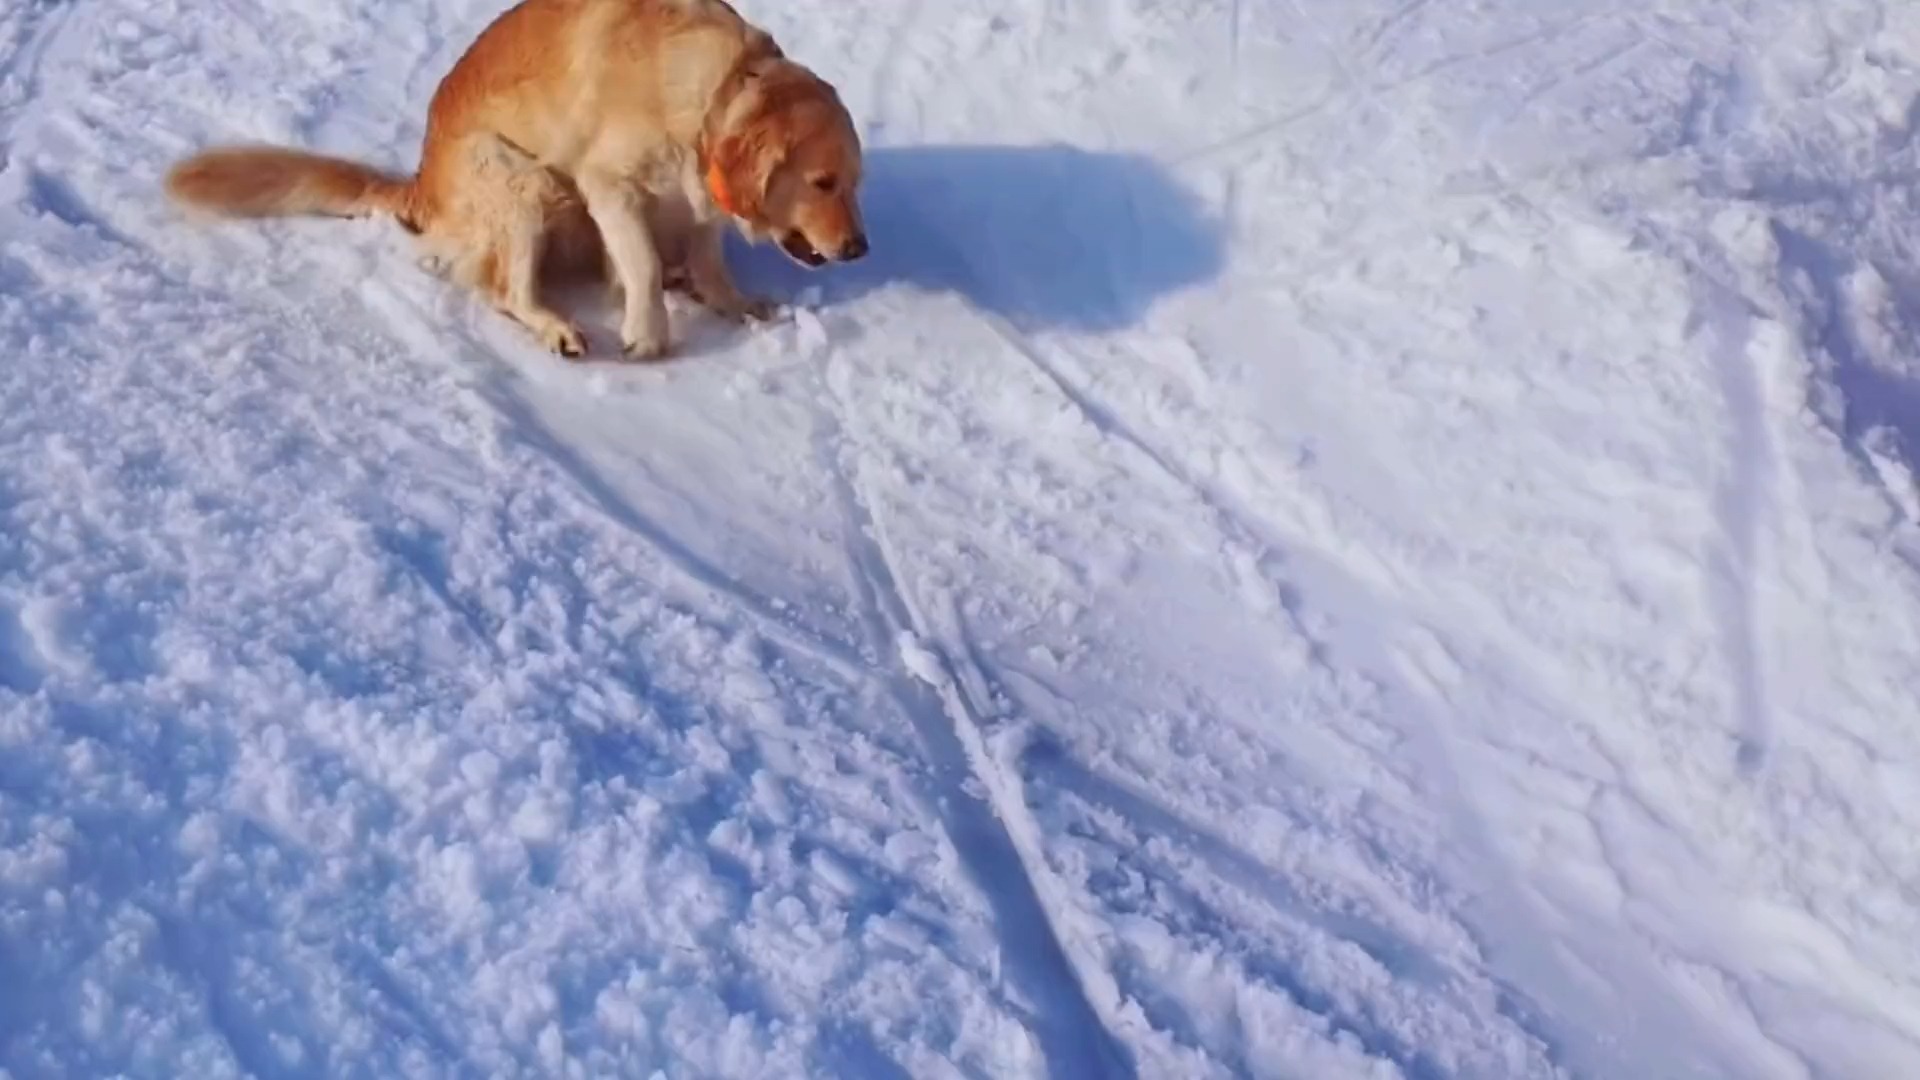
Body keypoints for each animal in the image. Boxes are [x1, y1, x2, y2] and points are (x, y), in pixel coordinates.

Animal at [161, 0, 867, 361]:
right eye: (823, 182)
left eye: (854, 183)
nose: (859, 249)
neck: (722, 86)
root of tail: (420, 183)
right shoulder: (606, 183)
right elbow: (638, 261)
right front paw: (647, 332)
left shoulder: (694, 202)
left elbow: (705, 254)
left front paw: (734, 303)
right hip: (525, 181)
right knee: (503, 289)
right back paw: (558, 327)